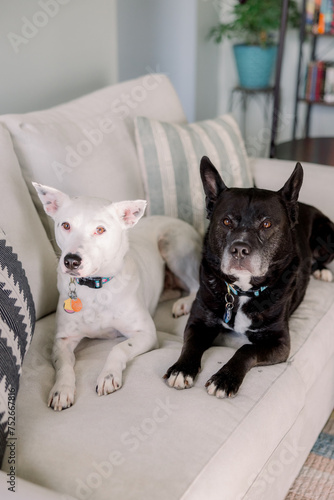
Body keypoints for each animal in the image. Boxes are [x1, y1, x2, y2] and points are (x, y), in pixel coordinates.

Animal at [33, 184, 201, 410]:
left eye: (100, 230)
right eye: (66, 225)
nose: (71, 261)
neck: (97, 288)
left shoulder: (146, 333)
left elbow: (118, 348)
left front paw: (108, 376)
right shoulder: (62, 341)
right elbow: (64, 366)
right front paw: (61, 390)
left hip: (172, 245)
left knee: (195, 285)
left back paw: (183, 303)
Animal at [164, 156, 334, 398]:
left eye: (266, 224)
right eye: (226, 222)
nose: (239, 249)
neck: (241, 290)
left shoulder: (279, 342)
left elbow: (246, 349)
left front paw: (224, 379)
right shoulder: (198, 323)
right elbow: (191, 344)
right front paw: (182, 369)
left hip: (327, 237)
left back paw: (322, 271)